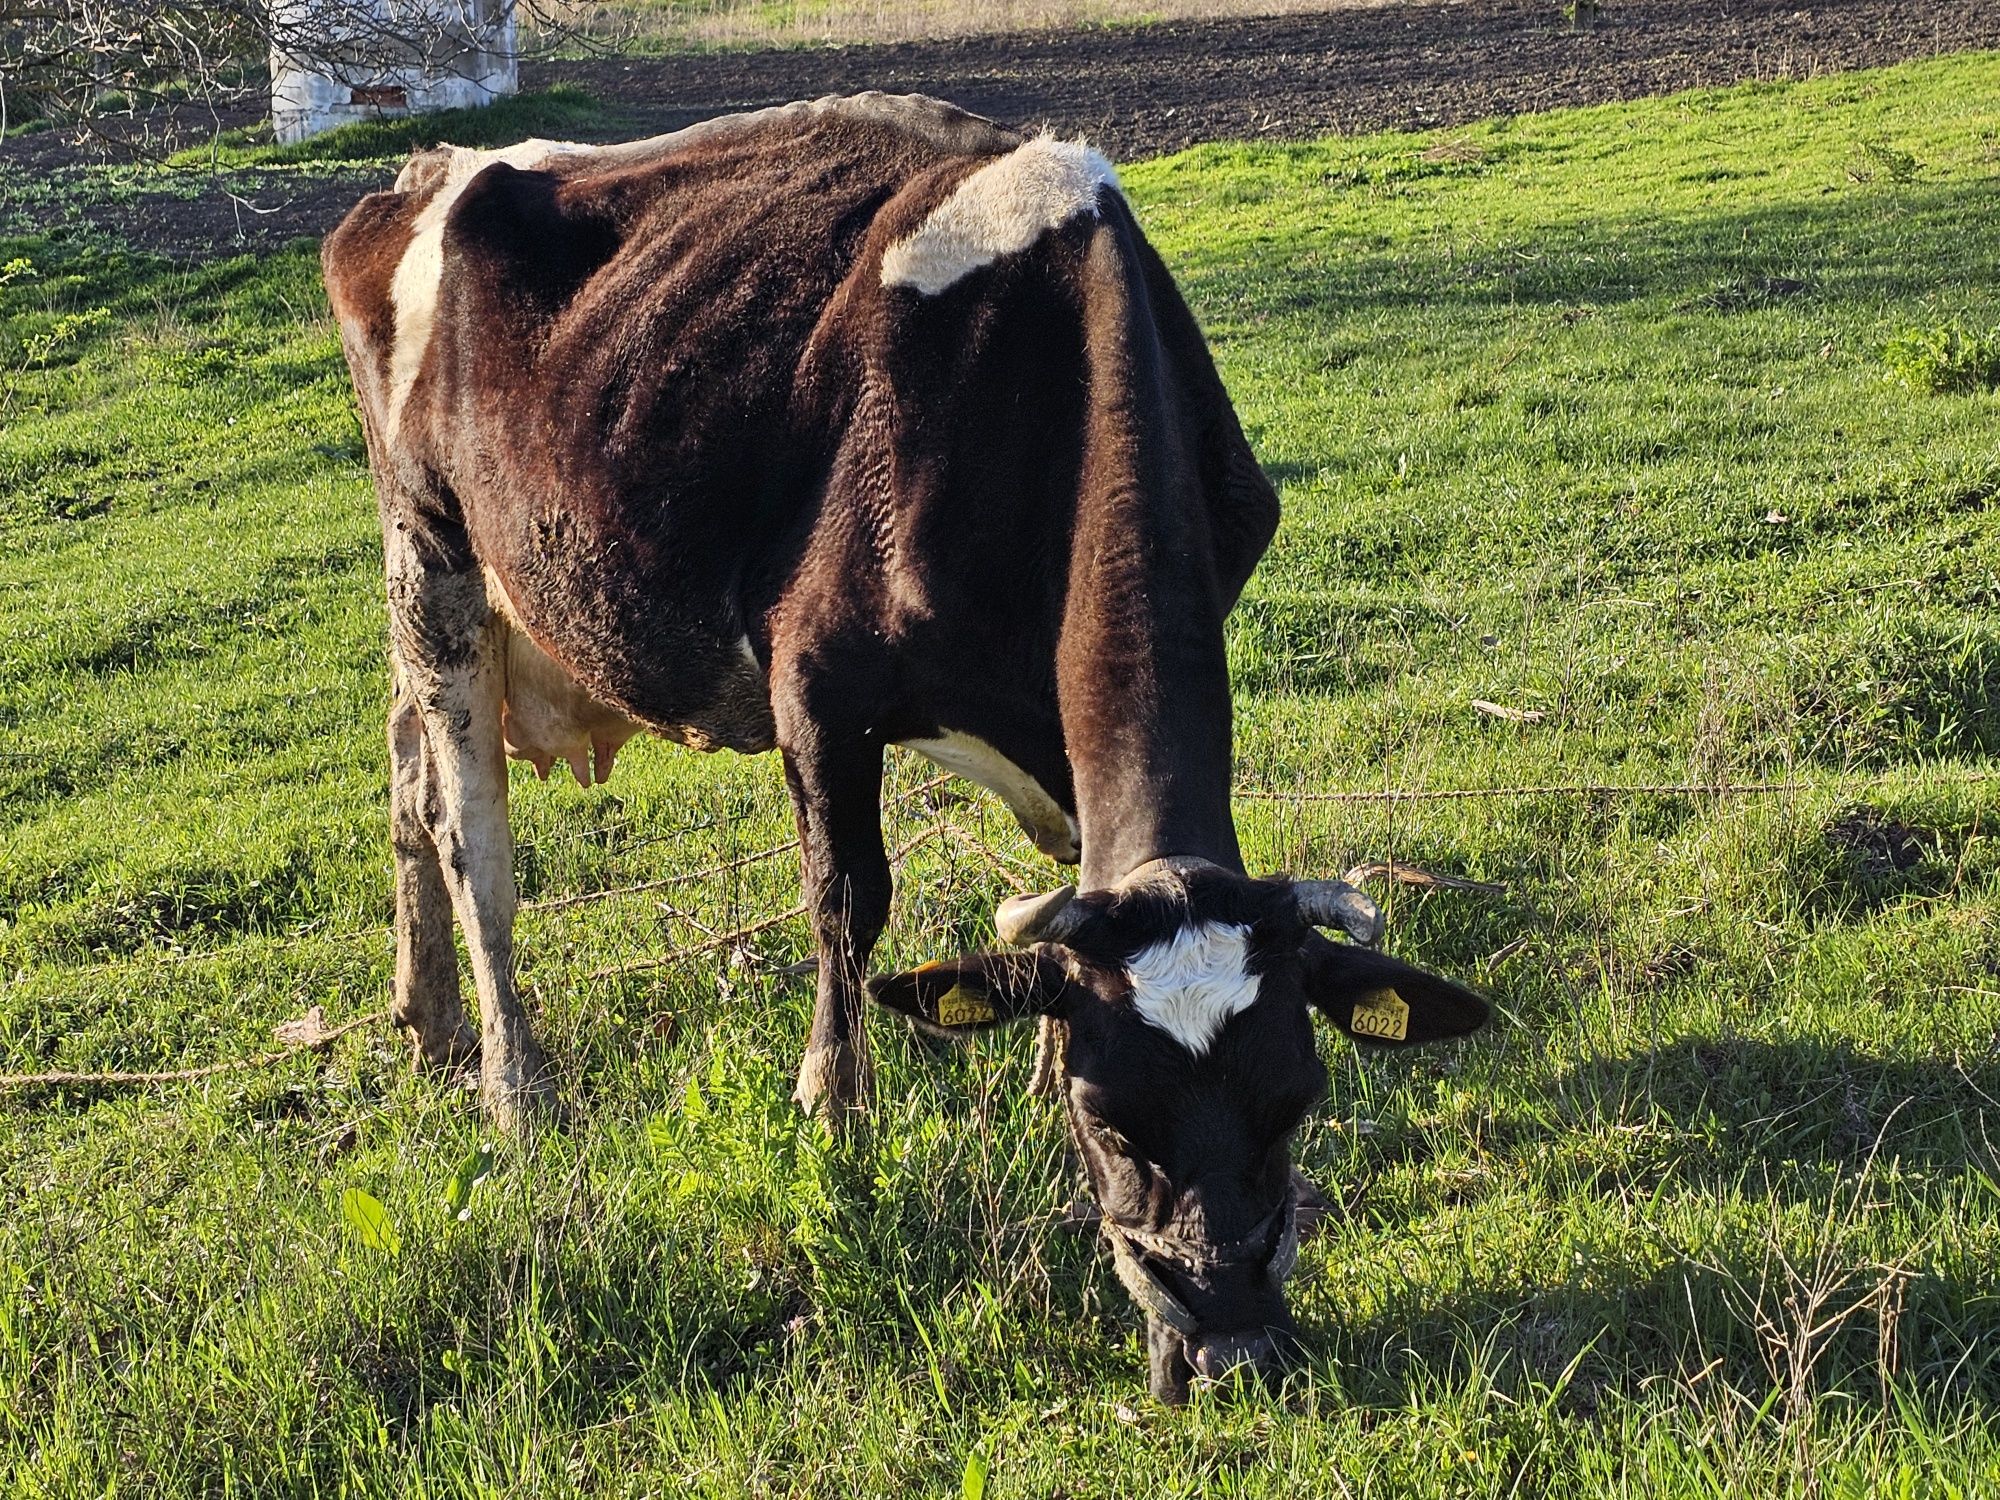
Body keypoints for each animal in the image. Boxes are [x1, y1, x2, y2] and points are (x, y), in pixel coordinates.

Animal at [324, 94, 1488, 1408]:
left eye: (1295, 1101)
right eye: (1112, 1120)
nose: (1230, 1347)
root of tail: (423, 172)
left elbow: (1056, 889)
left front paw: (1023, 1060)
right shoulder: (815, 684)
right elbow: (846, 900)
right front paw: (836, 1112)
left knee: (404, 788)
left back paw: (426, 1018)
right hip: (431, 545)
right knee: (471, 841)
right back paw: (514, 1090)